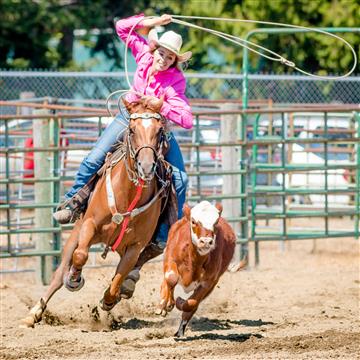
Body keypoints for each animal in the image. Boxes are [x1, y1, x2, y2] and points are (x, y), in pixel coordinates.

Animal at [21, 97, 172, 328]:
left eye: (159, 131)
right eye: (131, 129)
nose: (146, 167)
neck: (129, 195)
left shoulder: (135, 246)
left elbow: (118, 278)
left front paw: (109, 300)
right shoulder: (89, 225)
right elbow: (80, 255)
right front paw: (74, 278)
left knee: (134, 269)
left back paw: (127, 286)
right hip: (75, 231)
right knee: (59, 273)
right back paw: (34, 313)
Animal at [155, 201, 236, 336]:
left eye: (215, 222)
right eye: (193, 221)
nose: (206, 241)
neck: (194, 259)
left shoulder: (209, 282)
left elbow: (191, 303)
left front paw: (180, 302)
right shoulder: (170, 259)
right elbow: (171, 278)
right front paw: (167, 304)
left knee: (194, 305)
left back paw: (180, 331)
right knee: (166, 282)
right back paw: (162, 305)